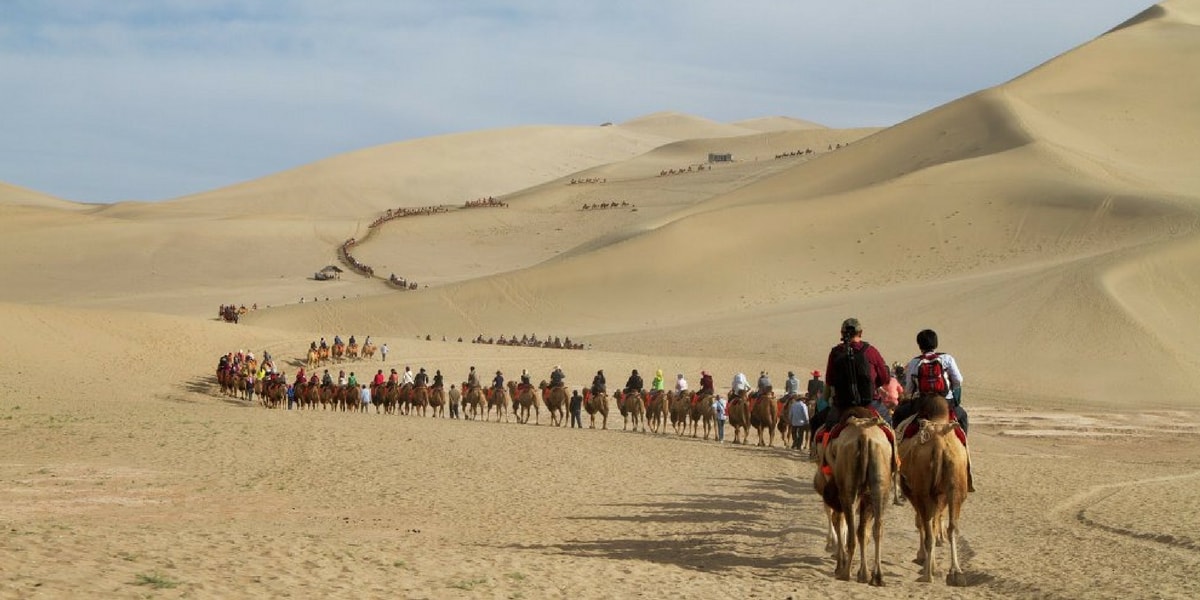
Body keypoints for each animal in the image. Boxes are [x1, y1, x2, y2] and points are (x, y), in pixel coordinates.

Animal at [825, 417, 892, 585]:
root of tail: (864, 436)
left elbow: (841, 523)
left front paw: (841, 566)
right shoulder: (867, 499)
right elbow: (863, 532)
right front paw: (863, 573)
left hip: (848, 489)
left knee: (848, 528)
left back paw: (845, 573)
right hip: (879, 483)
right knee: (877, 528)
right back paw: (878, 576)